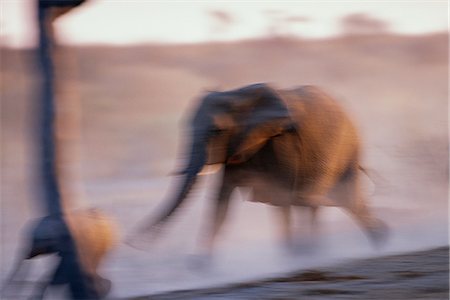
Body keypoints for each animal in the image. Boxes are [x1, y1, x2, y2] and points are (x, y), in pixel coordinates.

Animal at [136, 84, 386, 255]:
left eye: (217, 130)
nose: (135, 241)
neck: (238, 95)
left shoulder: (283, 143)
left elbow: (283, 197)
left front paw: (291, 257)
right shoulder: (237, 150)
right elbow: (221, 204)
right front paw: (201, 267)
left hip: (343, 147)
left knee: (322, 199)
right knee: (337, 201)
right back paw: (377, 239)